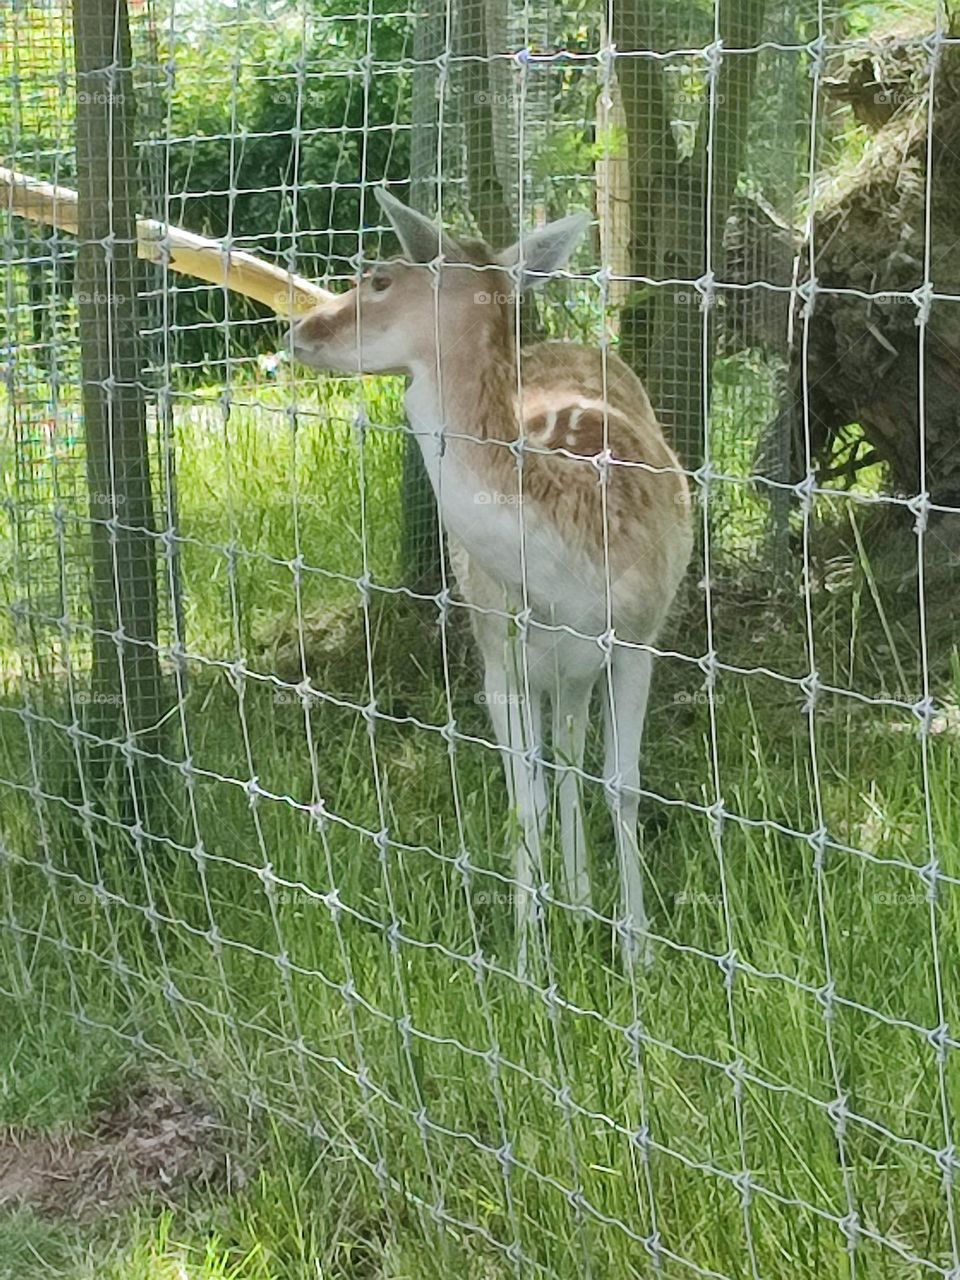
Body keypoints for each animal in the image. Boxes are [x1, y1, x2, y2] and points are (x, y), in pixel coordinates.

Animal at [292, 189, 693, 973]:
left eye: (378, 277)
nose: (299, 328)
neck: (566, 574)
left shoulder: (639, 635)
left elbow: (623, 787)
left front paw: (638, 953)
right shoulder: (497, 655)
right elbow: (520, 797)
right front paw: (530, 962)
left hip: (580, 666)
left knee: (572, 759)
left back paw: (584, 901)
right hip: (544, 667)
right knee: (556, 758)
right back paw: (572, 900)